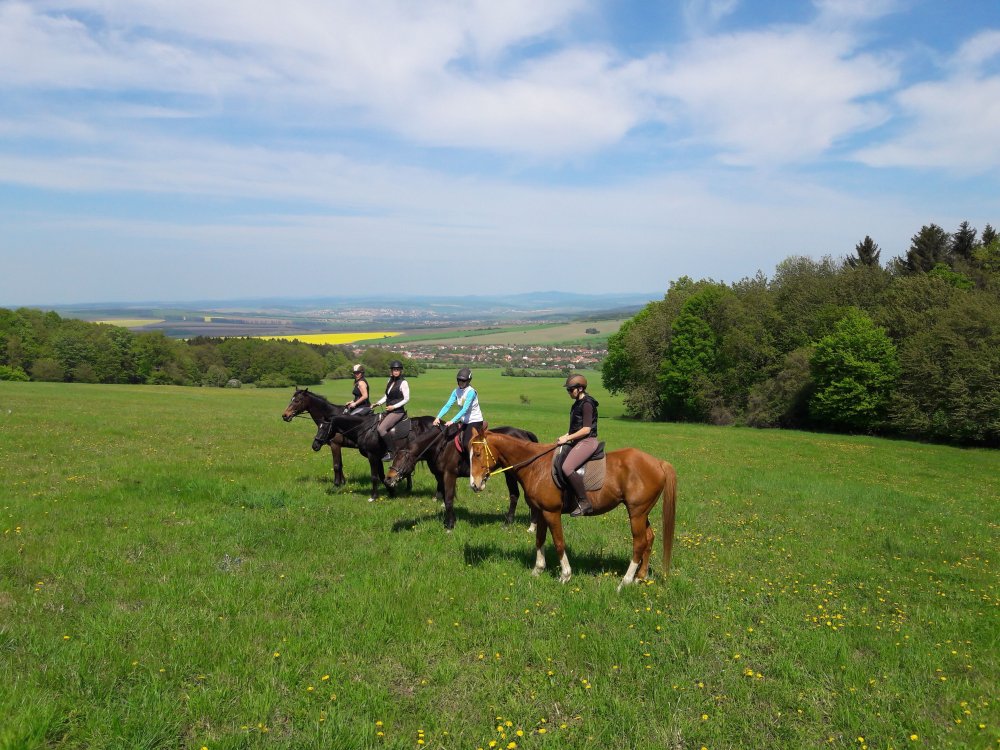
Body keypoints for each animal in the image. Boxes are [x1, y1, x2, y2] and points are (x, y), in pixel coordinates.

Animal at [385, 423, 541, 531]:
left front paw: (450, 526)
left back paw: (518, 523)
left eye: (402, 458)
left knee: (516, 495)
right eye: (394, 457)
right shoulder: (440, 476)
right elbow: (446, 498)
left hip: (511, 473)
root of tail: (524, 433)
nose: (388, 479)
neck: (440, 446)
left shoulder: (449, 475)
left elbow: (448, 499)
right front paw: (449, 521)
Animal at [468, 427, 676, 591]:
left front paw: (565, 575)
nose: (474, 485)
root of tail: (658, 463)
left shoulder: (552, 512)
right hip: (642, 513)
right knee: (649, 538)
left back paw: (625, 582)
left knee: (639, 543)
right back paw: (640, 577)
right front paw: (538, 570)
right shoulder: (541, 512)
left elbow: (559, 542)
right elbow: (539, 540)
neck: (536, 465)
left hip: (636, 513)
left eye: (477, 454)